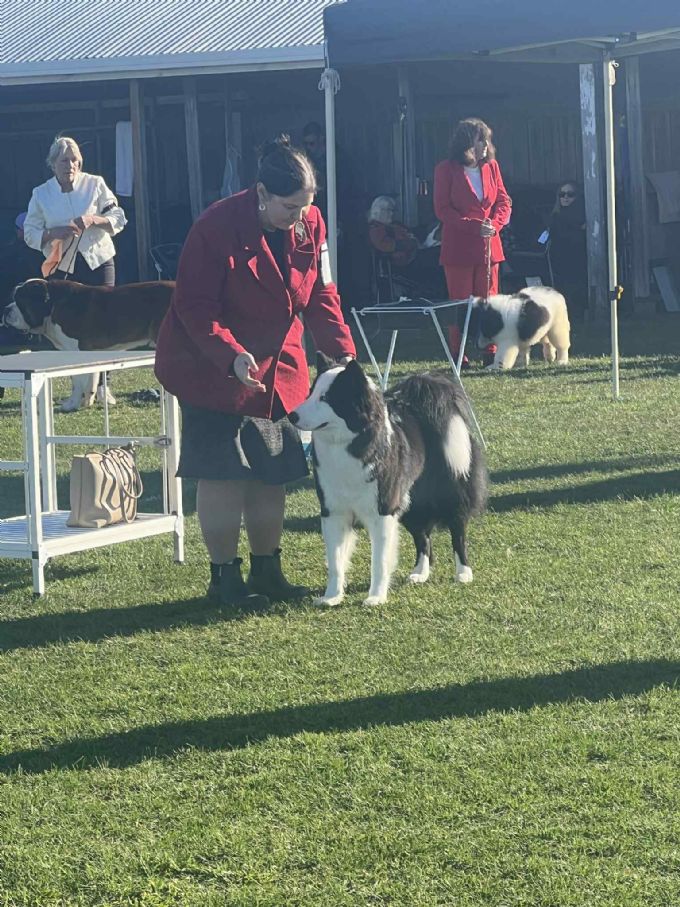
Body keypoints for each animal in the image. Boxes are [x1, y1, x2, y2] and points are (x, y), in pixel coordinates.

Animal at [2, 278, 174, 411]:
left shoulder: (75, 351)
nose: (5, 309)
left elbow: (77, 380)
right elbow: (91, 377)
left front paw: (71, 404)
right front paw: (88, 400)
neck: (52, 304)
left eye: (20, 301)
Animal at [290, 355, 487, 606]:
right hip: (411, 504)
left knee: (457, 532)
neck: (349, 445)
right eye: (310, 393)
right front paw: (332, 597)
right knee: (423, 539)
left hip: (451, 494)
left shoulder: (381, 511)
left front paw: (375, 597)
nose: (291, 415)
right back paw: (420, 573)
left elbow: (379, 561)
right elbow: (335, 561)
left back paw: (463, 572)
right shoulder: (333, 512)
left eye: (325, 398)